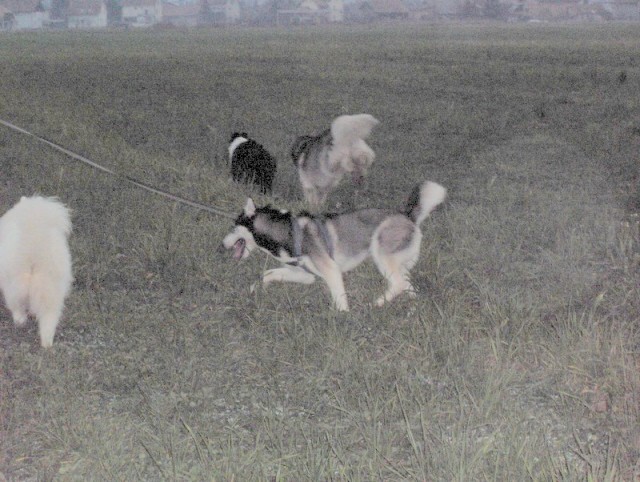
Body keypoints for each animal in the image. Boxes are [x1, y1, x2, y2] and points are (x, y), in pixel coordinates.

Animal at [0, 196, 73, 346]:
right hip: (51, 288)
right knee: (49, 317)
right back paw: (47, 343)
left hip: (13, 284)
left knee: (16, 305)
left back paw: (20, 322)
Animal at [220, 179, 444, 310]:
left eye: (233, 227)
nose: (221, 245)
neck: (286, 232)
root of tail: (408, 217)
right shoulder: (305, 274)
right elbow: (269, 274)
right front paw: (256, 287)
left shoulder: (331, 269)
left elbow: (339, 298)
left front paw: (345, 317)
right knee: (406, 284)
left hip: (381, 254)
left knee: (397, 284)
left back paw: (377, 303)